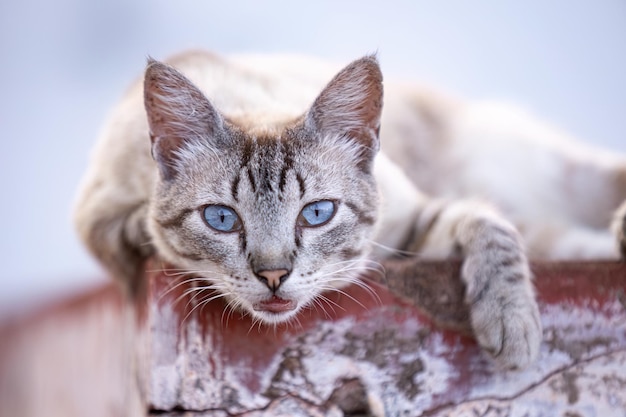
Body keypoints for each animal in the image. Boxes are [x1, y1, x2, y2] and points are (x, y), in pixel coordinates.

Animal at [73, 50, 624, 368]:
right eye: (222, 219)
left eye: (316, 214)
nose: (274, 276)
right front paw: (513, 328)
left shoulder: (410, 222)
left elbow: (492, 226)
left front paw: (513, 326)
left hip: (550, 165)